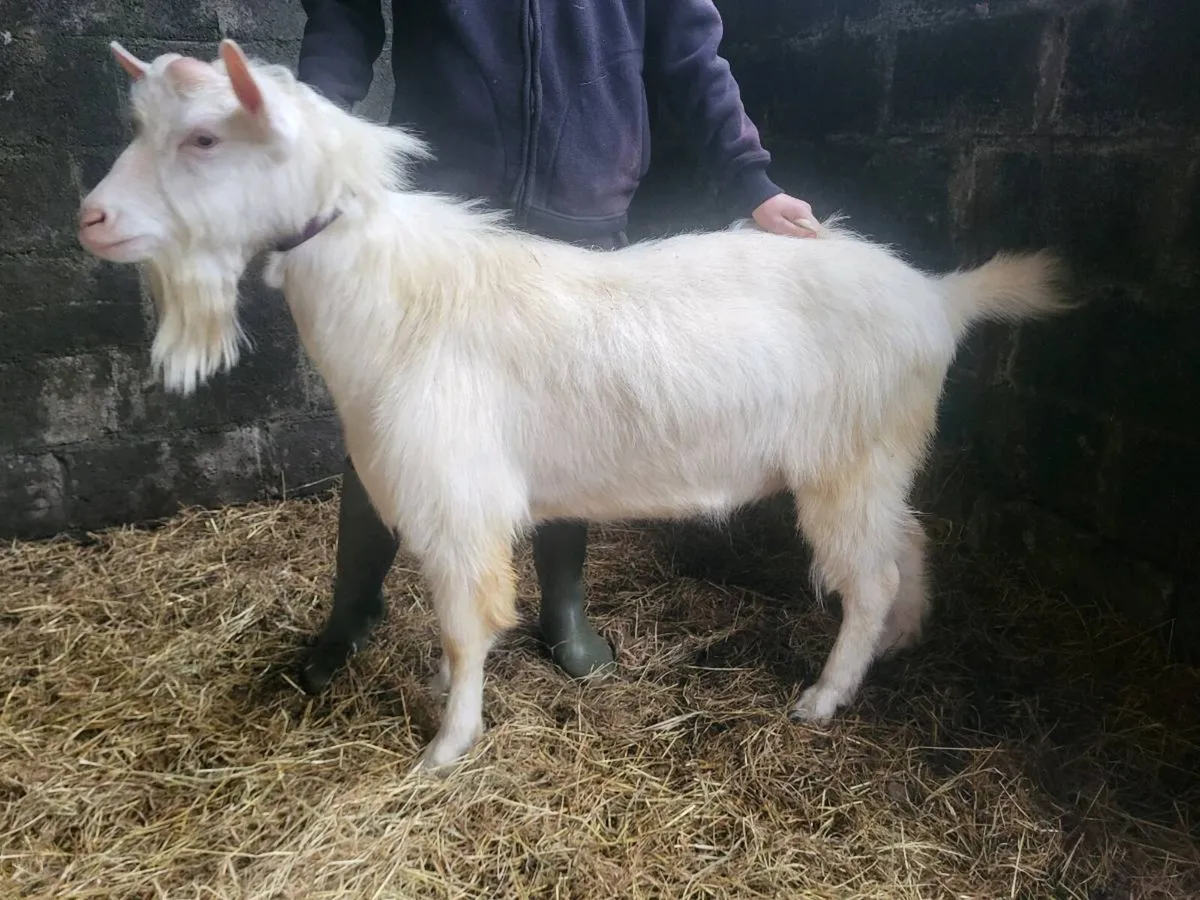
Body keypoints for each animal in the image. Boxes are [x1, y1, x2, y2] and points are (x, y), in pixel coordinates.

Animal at [78, 40, 1072, 771]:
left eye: (204, 140)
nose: (91, 218)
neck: (397, 295)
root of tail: (940, 295)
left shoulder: (455, 498)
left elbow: (464, 625)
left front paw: (446, 748)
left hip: (848, 459)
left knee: (866, 580)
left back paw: (825, 696)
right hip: (883, 457)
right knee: (907, 546)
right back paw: (898, 645)